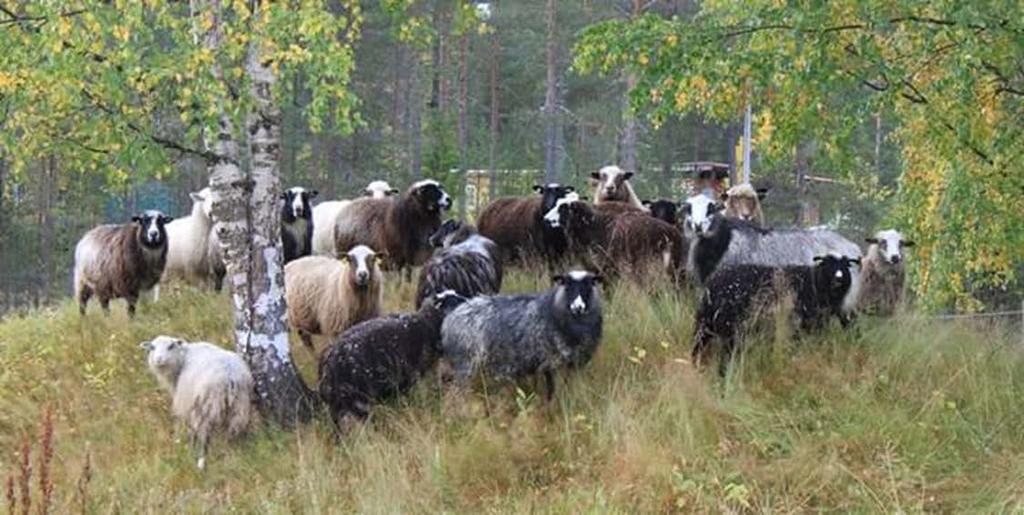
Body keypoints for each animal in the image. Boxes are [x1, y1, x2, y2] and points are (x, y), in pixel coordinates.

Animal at [140, 335, 253, 468]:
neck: (181, 360)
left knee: (205, 435)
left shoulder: (188, 404)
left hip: (207, 405)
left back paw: (201, 461)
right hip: (239, 405)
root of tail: (230, 375)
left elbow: (191, 430)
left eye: (171, 346)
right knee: (233, 431)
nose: (158, 359)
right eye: (152, 347)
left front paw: (188, 448)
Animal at [317, 290, 468, 427]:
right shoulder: (414, 376)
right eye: (455, 301)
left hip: (340, 405)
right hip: (357, 399)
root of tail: (327, 366)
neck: (427, 323)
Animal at [438, 272, 598, 401]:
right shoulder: (551, 363)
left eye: (588, 287)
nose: (578, 307)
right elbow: (552, 391)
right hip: (466, 362)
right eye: (567, 286)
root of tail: (456, 308)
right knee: (454, 392)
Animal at [692, 255, 860, 376]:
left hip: (705, 323)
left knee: (698, 347)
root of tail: (713, 284)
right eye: (828, 264)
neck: (814, 284)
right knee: (725, 355)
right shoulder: (800, 327)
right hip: (730, 329)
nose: (838, 279)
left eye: (845, 266)